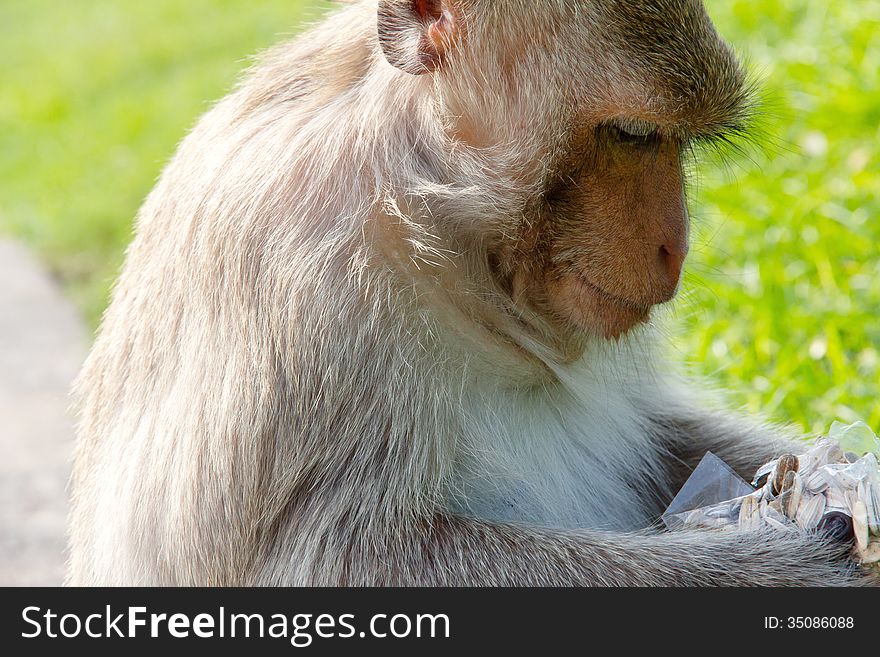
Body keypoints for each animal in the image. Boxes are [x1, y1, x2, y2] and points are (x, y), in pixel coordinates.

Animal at [70, 0, 872, 584]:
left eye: (669, 140)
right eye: (634, 133)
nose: (677, 247)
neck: (434, 225)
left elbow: (660, 429)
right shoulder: (302, 295)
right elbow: (328, 564)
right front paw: (788, 566)